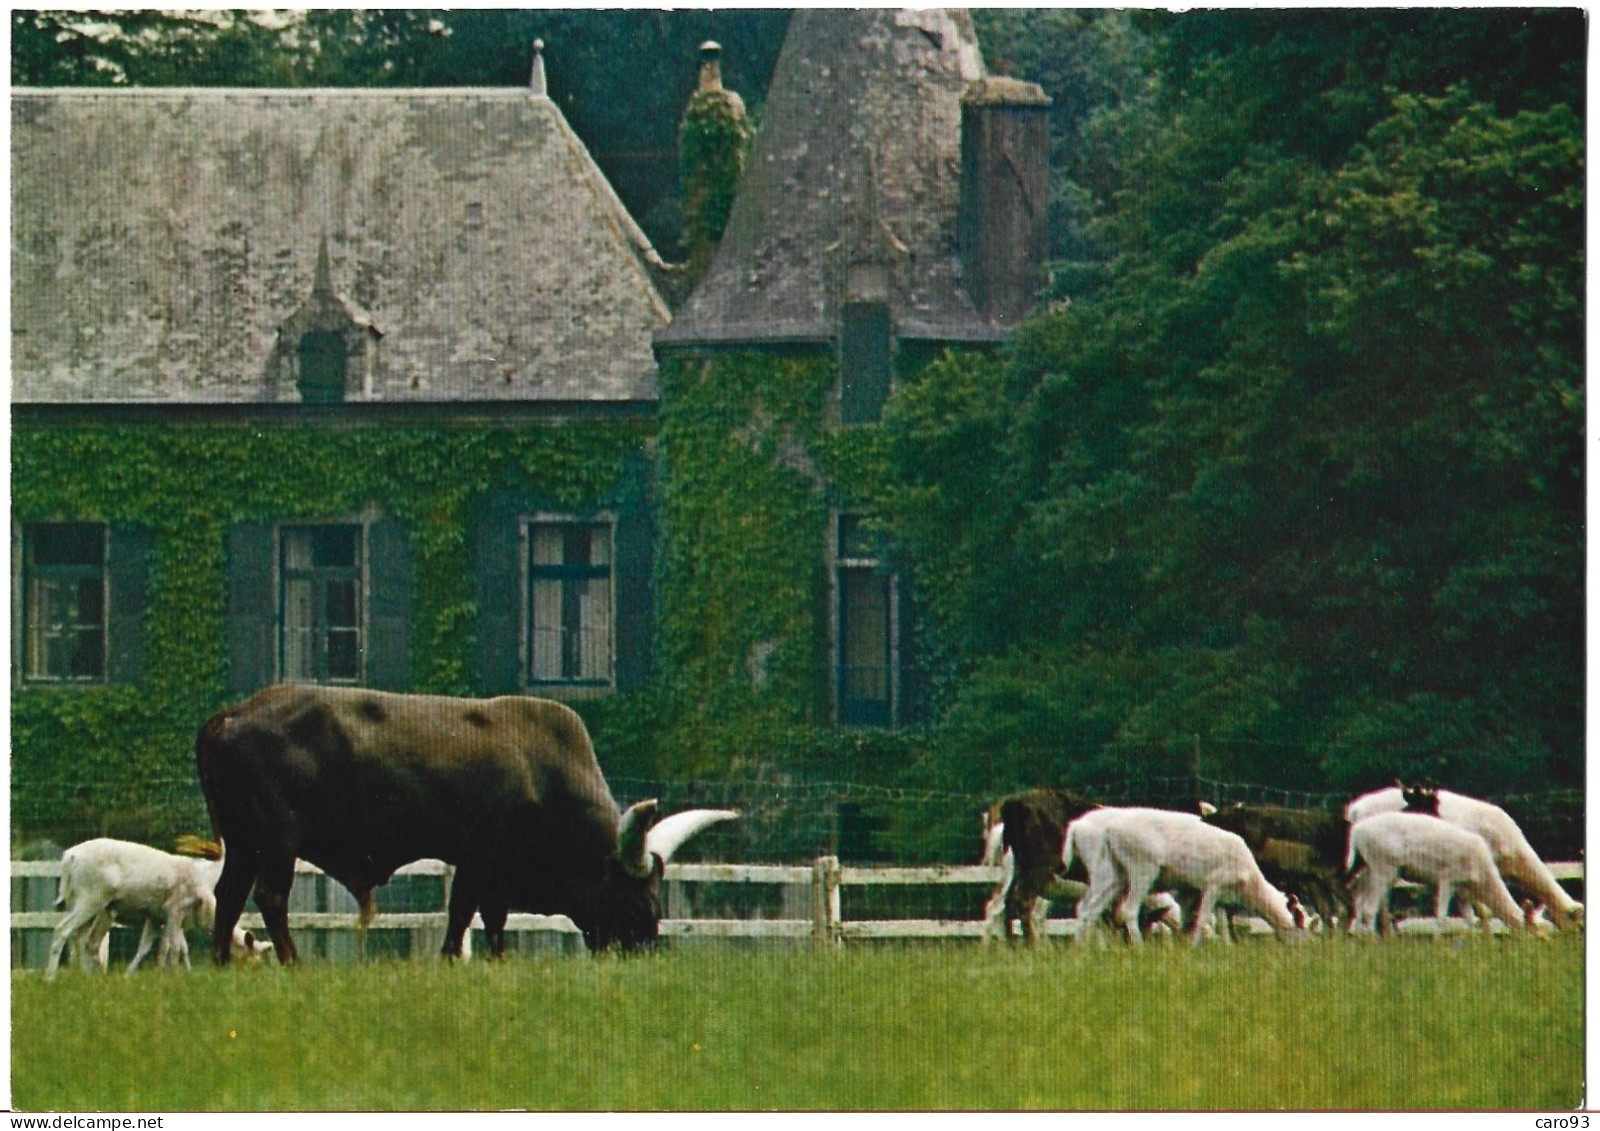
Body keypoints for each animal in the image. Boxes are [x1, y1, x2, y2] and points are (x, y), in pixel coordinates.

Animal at [195, 681, 736, 966]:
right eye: (640, 900)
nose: (645, 952)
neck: (546, 774)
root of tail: (232, 715)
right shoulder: (477, 859)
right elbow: (461, 915)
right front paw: (451, 959)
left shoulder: (495, 875)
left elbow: (493, 920)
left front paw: (495, 961)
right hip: (276, 841)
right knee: (271, 898)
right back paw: (292, 962)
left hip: (244, 844)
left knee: (229, 896)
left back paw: (221, 963)